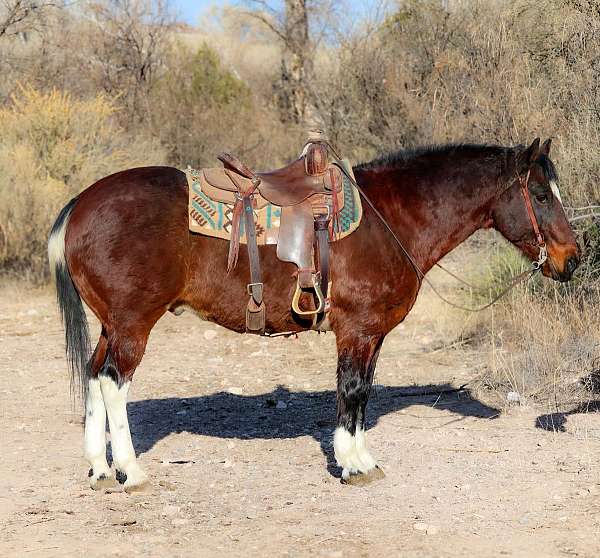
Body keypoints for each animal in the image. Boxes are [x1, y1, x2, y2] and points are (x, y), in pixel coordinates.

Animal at [49, 138, 580, 492]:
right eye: (540, 194)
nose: (572, 260)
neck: (392, 217)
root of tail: (80, 204)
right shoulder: (357, 329)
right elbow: (353, 391)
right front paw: (353, 464)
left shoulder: (372, 334)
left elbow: (362, 394)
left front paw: (361, 458)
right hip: (132, 325)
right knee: (114, 382)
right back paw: (131, 471)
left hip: (111, 326)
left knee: (95, 377)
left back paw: (100, 469)